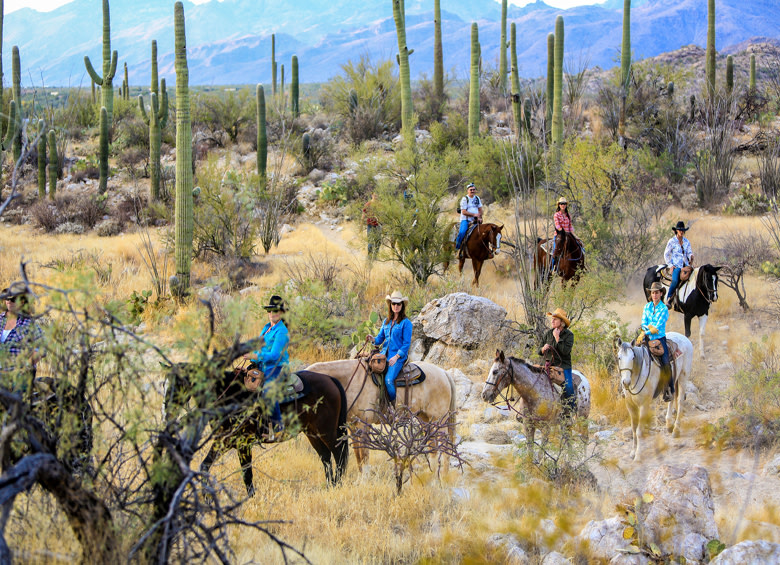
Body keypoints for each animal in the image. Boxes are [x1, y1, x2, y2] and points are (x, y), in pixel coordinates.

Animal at [165, 364, 348, 496]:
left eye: (178, 384)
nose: (168, 413)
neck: (231, 395)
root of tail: (330, 379)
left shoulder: (242, 444)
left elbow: (247, 474)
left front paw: (251, 498)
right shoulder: (223, 441)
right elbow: (204, 466)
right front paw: (206, 497)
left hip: (327, 430)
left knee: (338, 454)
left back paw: (338, 485)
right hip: (312, 432)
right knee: (325, 456)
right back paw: (330, 486)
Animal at [304, 360, 458, 470]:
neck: (350, 380)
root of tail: (443, 373)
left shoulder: (363, 425)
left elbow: (364, 455)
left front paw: (364, 481)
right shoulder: (353, 427)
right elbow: (358, 455)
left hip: (439, 420)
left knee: (445, 447)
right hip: (426, 420)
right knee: (433, 447)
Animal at [616, 332, 696, 460]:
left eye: (633, 358)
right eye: (619, 358)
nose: (626, 382)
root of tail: (683, 337)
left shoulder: (644, 405)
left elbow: (639, 431)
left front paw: (638, 456)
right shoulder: (630, 405)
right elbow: (633, 429)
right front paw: (633, 452)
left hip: (683, 377)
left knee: (680, 401)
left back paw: (676, 430)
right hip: (673, 380)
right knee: (672, 397)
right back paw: (669, 425)